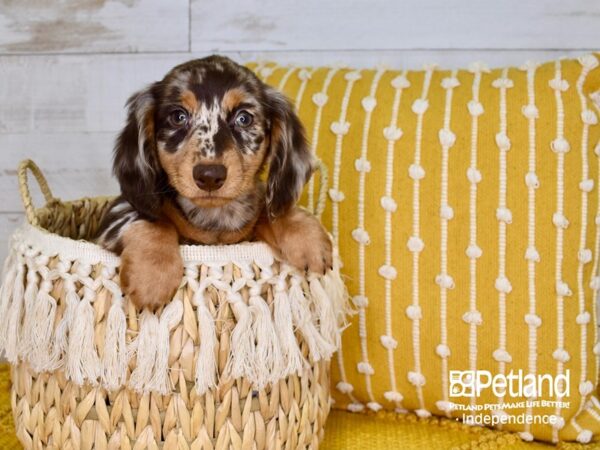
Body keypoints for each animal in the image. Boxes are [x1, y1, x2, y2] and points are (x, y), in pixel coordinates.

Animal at [98, 55, 332, 310]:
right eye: (178, 116)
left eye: (244, 118)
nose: (209, 176)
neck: (214, 218)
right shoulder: (116, 214)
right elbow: (154, 222)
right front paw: (153, 275)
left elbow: (270, 213)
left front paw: (307, 236)